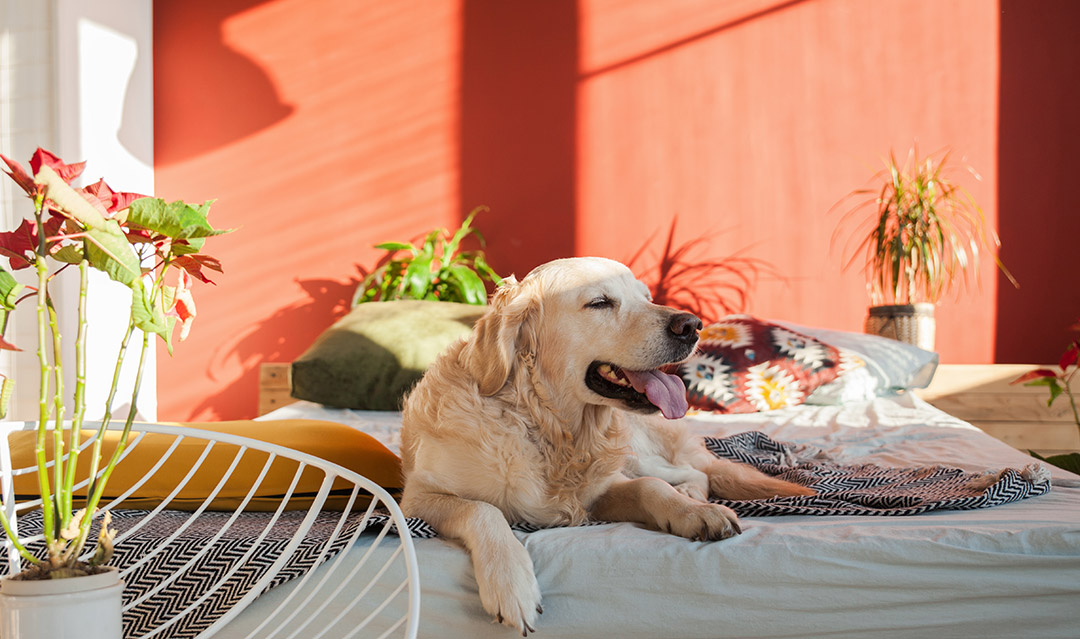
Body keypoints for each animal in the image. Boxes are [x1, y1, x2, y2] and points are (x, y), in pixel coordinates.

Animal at [401, 254, 812, 634]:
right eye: (599, 302)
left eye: (647, 298)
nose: (692, 325)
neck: (547, 427)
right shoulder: (418, 498)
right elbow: (482, 509)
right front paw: (511, 582)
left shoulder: (600, 491)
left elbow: (650, 488)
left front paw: (692, 512)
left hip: (635, 452)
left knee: (691, 473)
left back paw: (693, 498)